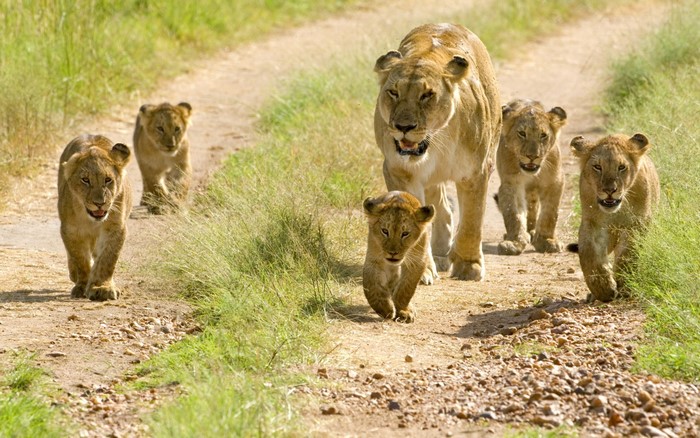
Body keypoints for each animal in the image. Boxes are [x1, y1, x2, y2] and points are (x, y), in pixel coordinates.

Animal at [57, 134, 133, 301]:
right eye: (85, 180)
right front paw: (82, 285)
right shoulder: (70, 230)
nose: (99, 203)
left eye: (108, 180)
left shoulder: (115, 228)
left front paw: (102, 287)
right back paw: (74, 275)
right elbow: (80, 259)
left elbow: (107, 259)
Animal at [362, 191, 435, 323]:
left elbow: (406, 289)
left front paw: (403, 311)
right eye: (385, 231)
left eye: (405, 233)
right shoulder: (374, 259)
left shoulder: (416, 261)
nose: (393, 253)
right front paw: (385, 309)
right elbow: (370, 285)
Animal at [374, 23, 501, 284]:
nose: (403, 127)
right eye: (393, 92)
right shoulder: (399, 171)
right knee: (441, 206)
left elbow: (473, 220)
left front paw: (469, 266)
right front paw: (419, 271)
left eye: (426, 95)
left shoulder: (476, 172)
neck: (436, 141)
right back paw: (441, 253)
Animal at [495, 99, 568, 255]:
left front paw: (546, 241)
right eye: (522, 133)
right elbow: (513, 214)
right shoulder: (511, 183)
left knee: (533, 208)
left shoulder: (555, 181)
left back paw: (532, 232)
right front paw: (514, 242)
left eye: (543, 135)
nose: (532, 156)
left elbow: (550, 214)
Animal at [570, 133, 660, 302]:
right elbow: (588, 253)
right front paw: (603, 289)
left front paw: (625, 285)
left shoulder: (636, 224)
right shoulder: (593, 223)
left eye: (621, 167)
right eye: (597, 167)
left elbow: (627, 254)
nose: (609, 190)